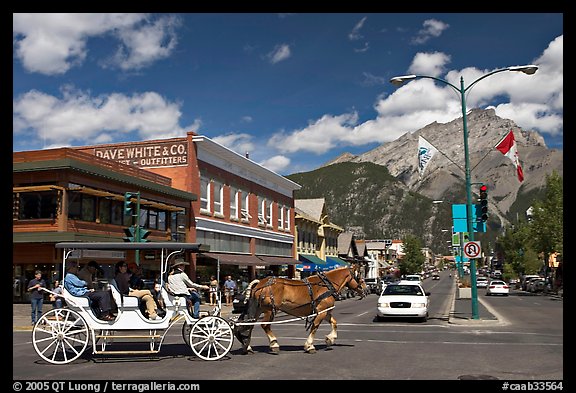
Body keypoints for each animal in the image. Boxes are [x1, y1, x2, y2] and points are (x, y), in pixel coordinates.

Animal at [233, 264, 364, 354]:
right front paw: (309, 346)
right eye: (359, 276)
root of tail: (260, 283)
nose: (365, 289)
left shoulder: (325, 311)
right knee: (265, 325)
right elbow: (314, 327)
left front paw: (330, 339)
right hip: (269, 310)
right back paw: (274, 344)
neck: (327, 285)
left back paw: (247, 347)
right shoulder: (321, 312)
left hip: (258, 309)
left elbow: (334, 323)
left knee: (248, 325)